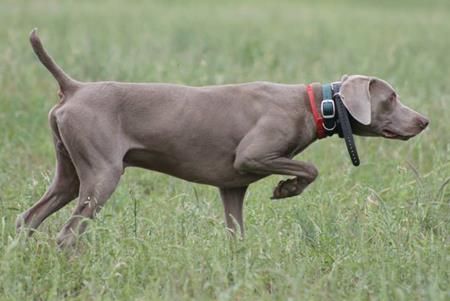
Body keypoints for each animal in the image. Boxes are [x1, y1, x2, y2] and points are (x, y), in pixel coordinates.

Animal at [14, 29, 428, 247]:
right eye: (392, 97)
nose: (424, 121)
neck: (316, 103)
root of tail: (74, 87)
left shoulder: (232, 186)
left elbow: (236, 233)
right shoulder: (252, 155)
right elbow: (309, 167)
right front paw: (286, 189)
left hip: (69, 172)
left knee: (27, 218)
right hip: (102, 174)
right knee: (67, 234)